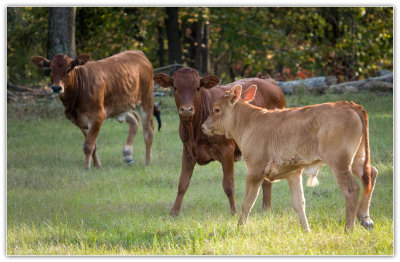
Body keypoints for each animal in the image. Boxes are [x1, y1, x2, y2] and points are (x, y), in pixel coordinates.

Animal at [152, 68, 284, 217]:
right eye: (175, 87)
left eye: (197, 87)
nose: (186, 110)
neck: (195, 130)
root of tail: (268, 81)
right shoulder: (187, 151)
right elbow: (182, 183)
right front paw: (174, 212)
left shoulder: (227, 151)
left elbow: (228, 185)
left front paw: (234, 212)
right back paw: (266, 209)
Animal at [203, 84, 378, 231]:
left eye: (216, 110)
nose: (203, 126)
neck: (250, 122)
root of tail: (348, 104)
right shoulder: (293, 172)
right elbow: (299, 203)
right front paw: (306, 230)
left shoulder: (255, 170)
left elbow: (248, 202)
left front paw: (239, 227)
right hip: (358, 158)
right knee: (370, 173)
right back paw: (365, 218)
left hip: (339, 162)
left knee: (352, 189)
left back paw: (349, 229)